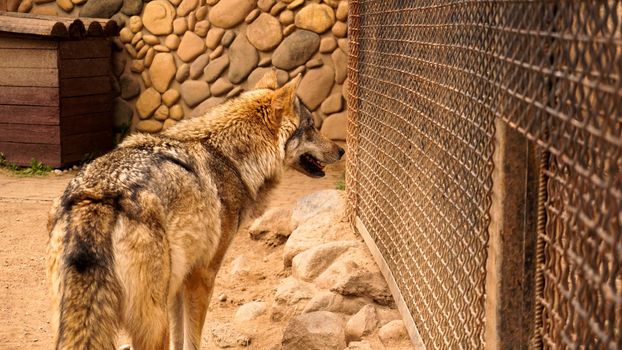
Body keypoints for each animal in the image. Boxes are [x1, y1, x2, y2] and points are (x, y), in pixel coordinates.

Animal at [46, 72, 346, 350]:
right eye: (311, 126)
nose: (342, 151)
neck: (228, 157)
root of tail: (96, 197)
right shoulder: (203, 275)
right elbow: (192, 339)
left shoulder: (180, 280)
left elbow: (181, 340)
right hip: (153, 323)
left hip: (74, 320)